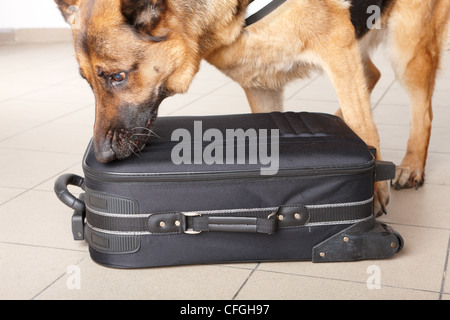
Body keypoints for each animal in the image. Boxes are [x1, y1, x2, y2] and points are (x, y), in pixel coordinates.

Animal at [55, 0, 450, 216]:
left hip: (408, 47)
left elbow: (363, 120)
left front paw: (376, 189)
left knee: (421, 109)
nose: (102, 156)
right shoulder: (262, 85)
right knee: (371, 74)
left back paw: (411, 165)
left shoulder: (336, 46)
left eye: (118, 76)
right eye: (88, 82)